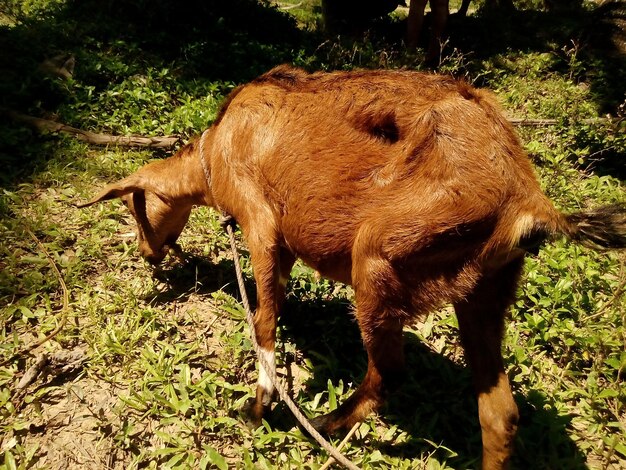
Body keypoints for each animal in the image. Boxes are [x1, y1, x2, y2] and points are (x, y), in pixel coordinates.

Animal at [80, 65, 620, 466]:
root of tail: (528, 204)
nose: (148, 255)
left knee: (391, 372)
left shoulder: (261, 222)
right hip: (483, 292)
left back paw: (323, 425)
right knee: (500, 414)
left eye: (132, 206)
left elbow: (264, 321)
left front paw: (257, 408)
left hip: (377, 259)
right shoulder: (284, 246)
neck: (217, 146)